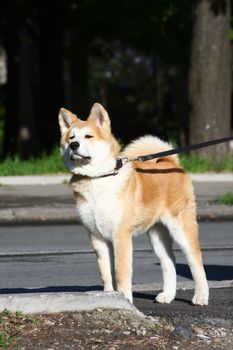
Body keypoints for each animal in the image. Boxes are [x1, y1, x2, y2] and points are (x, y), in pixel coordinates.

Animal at [58, 102, 209, 304]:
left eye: (88, 136)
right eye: (71, 138)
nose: (74, 145)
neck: (97, 179)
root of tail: (171, 161)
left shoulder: (120, 236)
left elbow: (121, 272)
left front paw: (124, 298)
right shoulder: (97, 237)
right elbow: (106, 273)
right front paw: (108, 297)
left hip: (181, 228)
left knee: (196, 261)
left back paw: (201, 296)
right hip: (157, 234)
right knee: (169, 262)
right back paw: (167, 295)